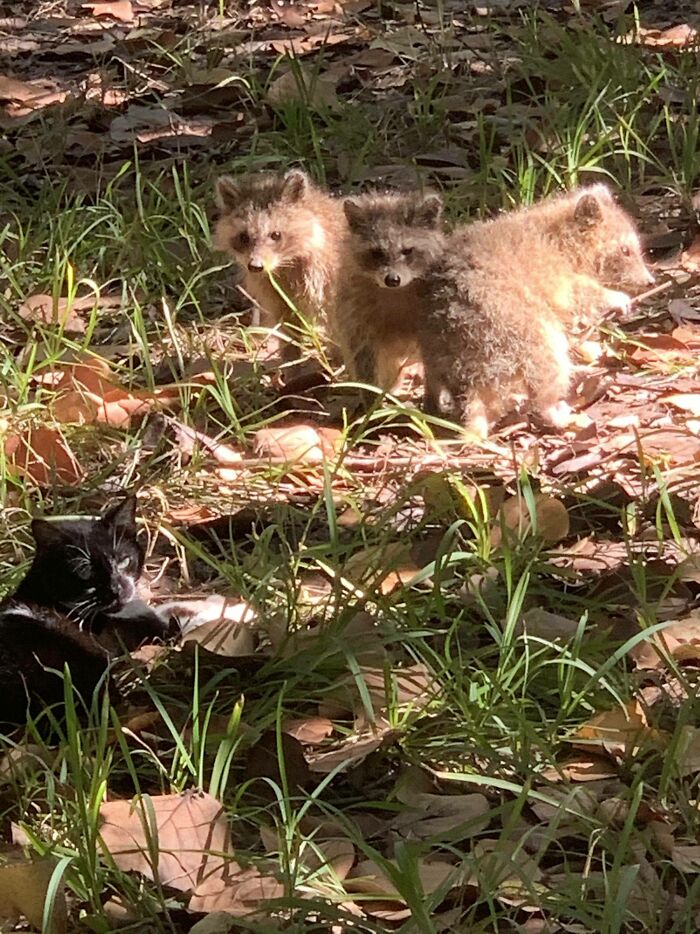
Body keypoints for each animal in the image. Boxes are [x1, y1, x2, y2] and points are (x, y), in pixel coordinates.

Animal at [214, 169, 347, 361]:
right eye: (244, 237)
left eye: (275, 235)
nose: (255, 266)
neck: (284, 264)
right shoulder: (275, 291)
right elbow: (288, 325)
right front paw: (292, 361)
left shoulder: (327, 279)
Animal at [418, 184, 654, 436]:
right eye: (625, 251)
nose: (650, 281)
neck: (562, 239)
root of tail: (468, 379)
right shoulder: (557, 277)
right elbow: (581, 295)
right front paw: (613, 298)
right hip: (524, 334)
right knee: (549, 368)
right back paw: (555, 412)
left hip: (438, 352)